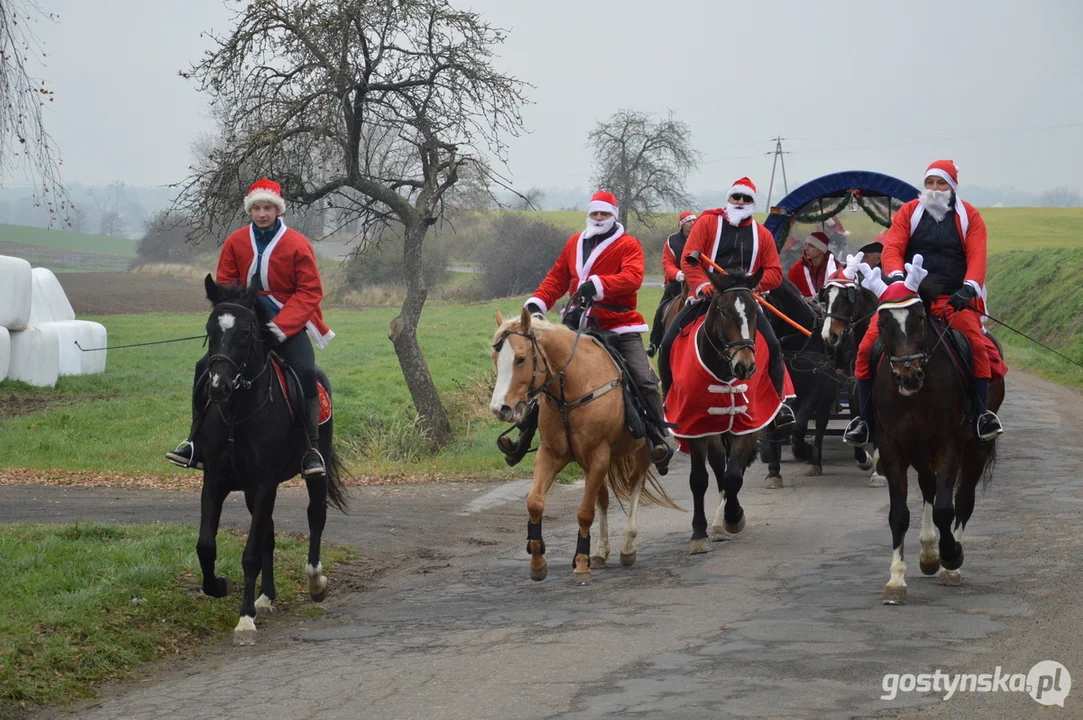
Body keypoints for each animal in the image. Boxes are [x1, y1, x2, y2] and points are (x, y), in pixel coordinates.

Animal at [194, 273, 346, 640]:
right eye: (210, 329)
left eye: (246, 332)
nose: (217, 387)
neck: (237, 413)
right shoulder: (216, 481)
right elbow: (206, 545)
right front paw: (219, 586)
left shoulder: (265, 483)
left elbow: (249, 553)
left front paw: (245, 617)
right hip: (251, 491)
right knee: (269, 534)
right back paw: (266, 595)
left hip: (311, 472)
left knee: (315, 516)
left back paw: (315, 581)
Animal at [491, 307, 675, 584]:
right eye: (495, 357)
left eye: (521, 359)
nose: (500, 409)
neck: (573, 388)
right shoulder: (552, 453)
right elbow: (535, 502)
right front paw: (537, 560)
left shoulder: (598, 455)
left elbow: (585, 512)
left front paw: (580, 561)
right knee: (604, 499)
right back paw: (600, 551)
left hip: (640, 453)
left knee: (635, 485)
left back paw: (627, 546)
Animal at [875, 283, 1000, 601]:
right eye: (883, 323)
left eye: (920, 318)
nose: (909, 376)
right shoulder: (892, 448)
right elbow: (899, 514)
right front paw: (896, 580)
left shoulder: (948, 446)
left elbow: (946, 508)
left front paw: (952, 555)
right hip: (921, 451)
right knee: (929, 487)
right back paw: (930, 553)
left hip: (975, 450)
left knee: (963, 499)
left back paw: (948, 566)